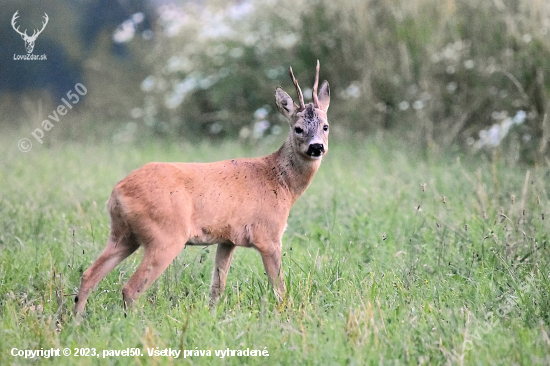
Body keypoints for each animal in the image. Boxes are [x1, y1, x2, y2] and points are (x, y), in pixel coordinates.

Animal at [73, 60, 332, 314]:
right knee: (130, 288)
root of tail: (117, 193)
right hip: (165, 235)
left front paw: (211, 315)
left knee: (88, 275)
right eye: (298, 128)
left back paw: (74, 320)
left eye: (326, 126)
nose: (316, 147)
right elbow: (279, 287)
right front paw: (286, 313)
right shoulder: (268, 235)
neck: (281, 183)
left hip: (122, 235)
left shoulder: (227, 239)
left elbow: (217, 287)